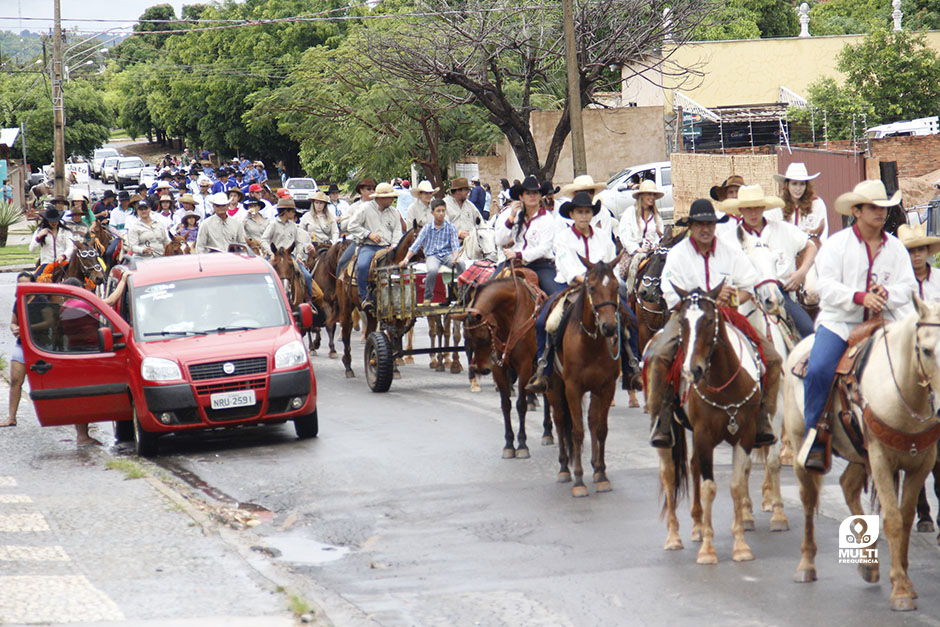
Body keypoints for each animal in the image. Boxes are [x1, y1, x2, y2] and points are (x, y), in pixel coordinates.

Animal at [460, 272, 556, 458]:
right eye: (467, 338)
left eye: (482, 336)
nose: (480, 369)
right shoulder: (498, 367)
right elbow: (505, 404)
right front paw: (509, 444)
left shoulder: (524, 366)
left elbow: (521, 404)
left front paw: (522, 445)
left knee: (548, 397)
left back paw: (547, 433)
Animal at [544, 255, 624, 496]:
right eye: (592, 287)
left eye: (616, 287)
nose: (609, 327)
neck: (591, 343)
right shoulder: (572, 387)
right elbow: (577, 432)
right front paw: (579, 480)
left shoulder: (606, 387)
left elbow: (600, 429)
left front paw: (602, 475)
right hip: (554, 386)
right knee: (561, 420)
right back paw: (564, 469)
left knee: (591, 420)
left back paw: (595, 469)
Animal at [648, 284, 768, 564]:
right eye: (682, 321)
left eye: (710, 321)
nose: (692, 370)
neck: (725, 385)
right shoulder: (704, 436)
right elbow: (709, 488)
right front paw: (708, 552)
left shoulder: (745, 436)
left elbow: (736, 485)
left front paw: (741, 546)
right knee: (669, 474)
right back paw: (674, 537)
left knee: (692, 467)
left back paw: (697, 526)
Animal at [784, 296, 940, 612]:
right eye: (927, 350)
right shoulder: (880, 459)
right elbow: (892, 519)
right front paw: (900, 590)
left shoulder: (921, 463)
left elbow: (906, 518)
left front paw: (905, 580)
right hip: (800, 448)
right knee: (808, 499)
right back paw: (806, 564)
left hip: (858, 452)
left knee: (848, 486)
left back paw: (869, 563)